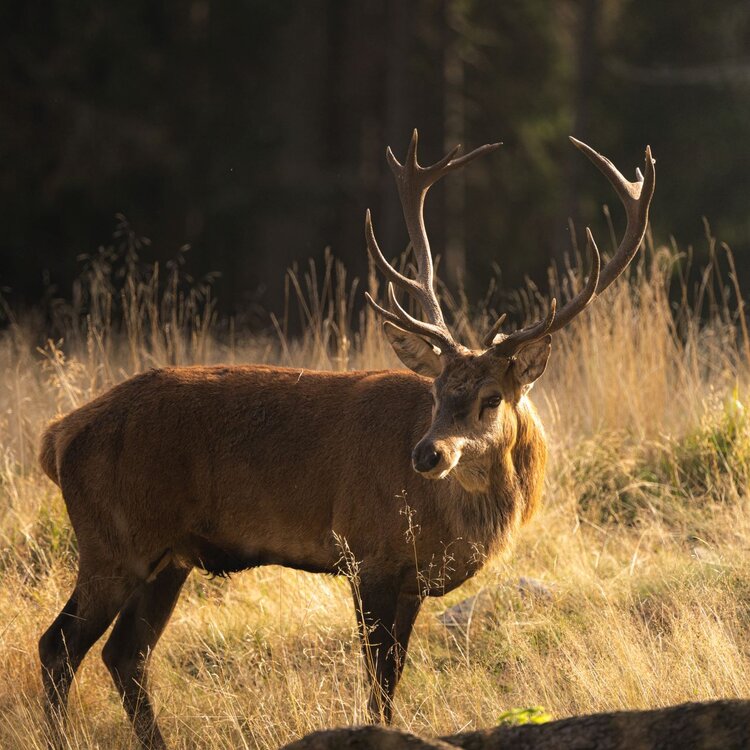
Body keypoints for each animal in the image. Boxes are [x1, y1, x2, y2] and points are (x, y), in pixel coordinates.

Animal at [38, 130, 654, 749]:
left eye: (491, 398)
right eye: (436, 391)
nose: (426, 454)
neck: (449, 523)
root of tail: (57, 437)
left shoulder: (410, 580)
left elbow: (392, 675)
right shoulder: (368, 552)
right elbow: (378, 681)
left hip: (168, 556)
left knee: (125, 655)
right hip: (112, 539)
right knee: (59, 647)